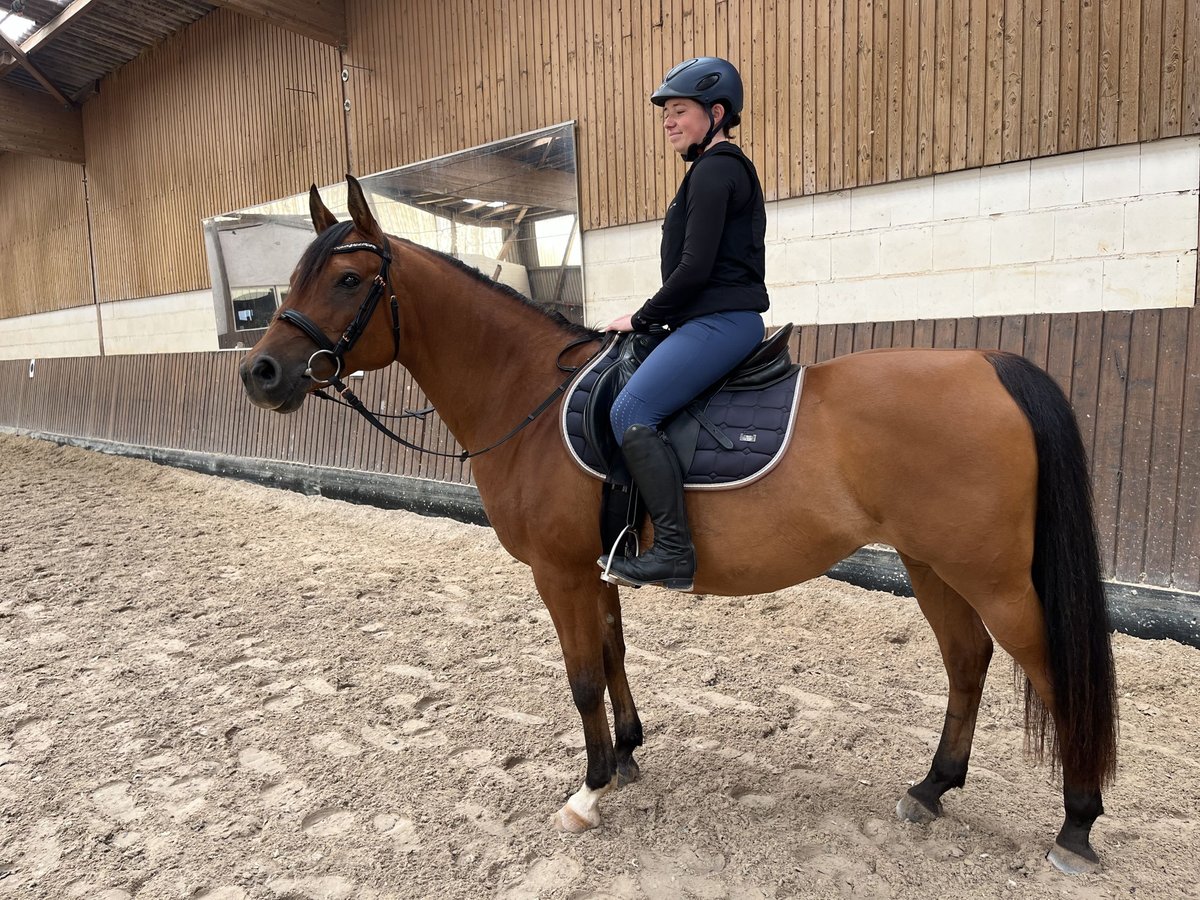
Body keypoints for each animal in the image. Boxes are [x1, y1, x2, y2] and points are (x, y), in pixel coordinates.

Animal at [238, 174, 1118, 873]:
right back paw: (932, 788)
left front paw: (589, 790)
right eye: (293, 278)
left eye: (349, 278)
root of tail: (989, 365)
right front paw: (626, 756)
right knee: (967, 662)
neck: (527, 396)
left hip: (991, 576)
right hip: (930, 564)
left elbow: (581, 675)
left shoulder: (557, 572)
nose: (261, 373)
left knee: (1050, 671)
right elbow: (613, 655)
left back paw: (1076, 826)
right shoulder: (595, 567)